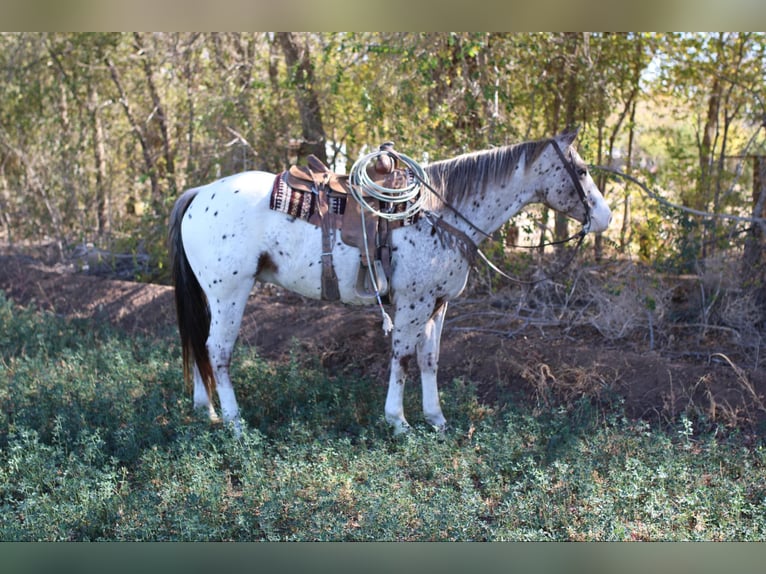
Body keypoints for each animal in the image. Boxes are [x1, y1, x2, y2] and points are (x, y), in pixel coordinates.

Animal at [168, 130, 612, 435]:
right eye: (582, 170)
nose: (605, 218)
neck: (438, 212)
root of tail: (200, 193)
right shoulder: (414, 302)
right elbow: (402, 356)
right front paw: (398, 421)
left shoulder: (438, 303)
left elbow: (430, 358)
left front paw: (436, 419)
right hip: (229, 292)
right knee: (218, 350)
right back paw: (235, 423)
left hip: (212, 295)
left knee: (201, 345)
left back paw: (206, 410)